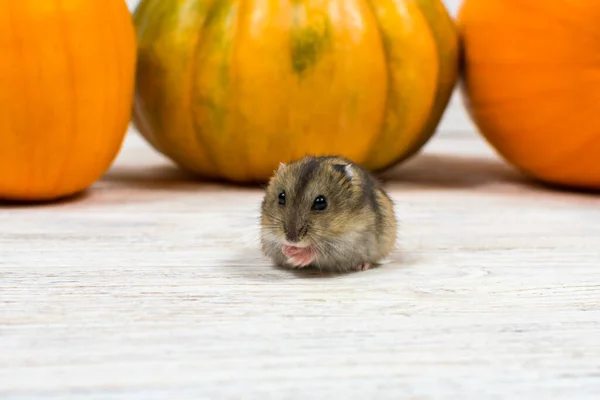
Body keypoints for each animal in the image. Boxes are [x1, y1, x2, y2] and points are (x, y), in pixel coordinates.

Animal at [258, 155, 396, 274]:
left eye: (321, 202)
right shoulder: (267, 234)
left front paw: (296, 256)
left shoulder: (348, 240)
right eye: (281, 197)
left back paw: (362, 266)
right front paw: (287, 250)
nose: (291, 240)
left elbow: (318, 250)